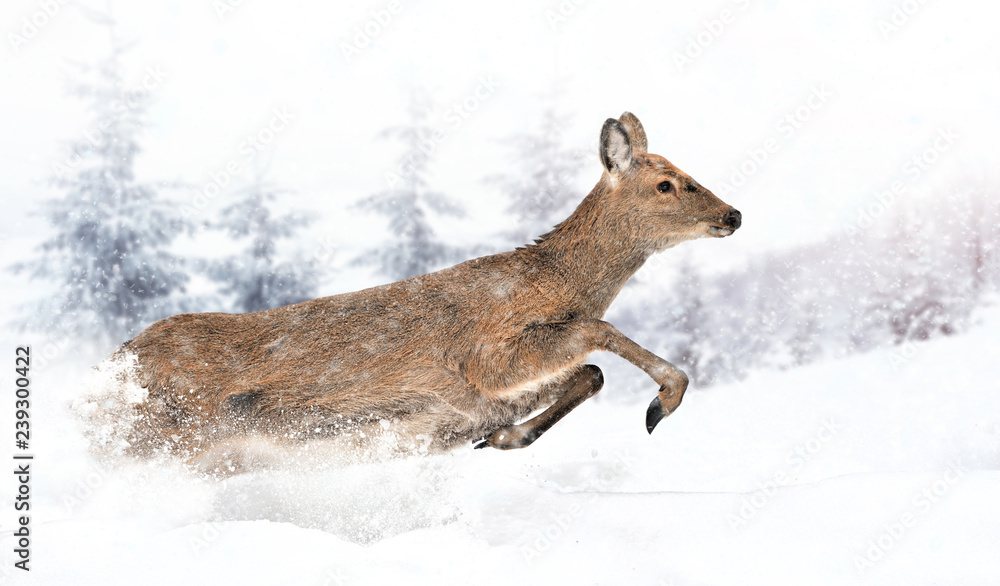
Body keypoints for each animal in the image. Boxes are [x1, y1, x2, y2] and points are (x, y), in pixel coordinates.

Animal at [101, 109, 740, 466]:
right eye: (666, 183)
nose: (732, 214)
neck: (551, 281)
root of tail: (113, 362)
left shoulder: (495, 390)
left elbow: (590, 372)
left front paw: (501, 440)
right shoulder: (487, 353)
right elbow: (598, 332)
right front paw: (665, 400)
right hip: (167, 431)